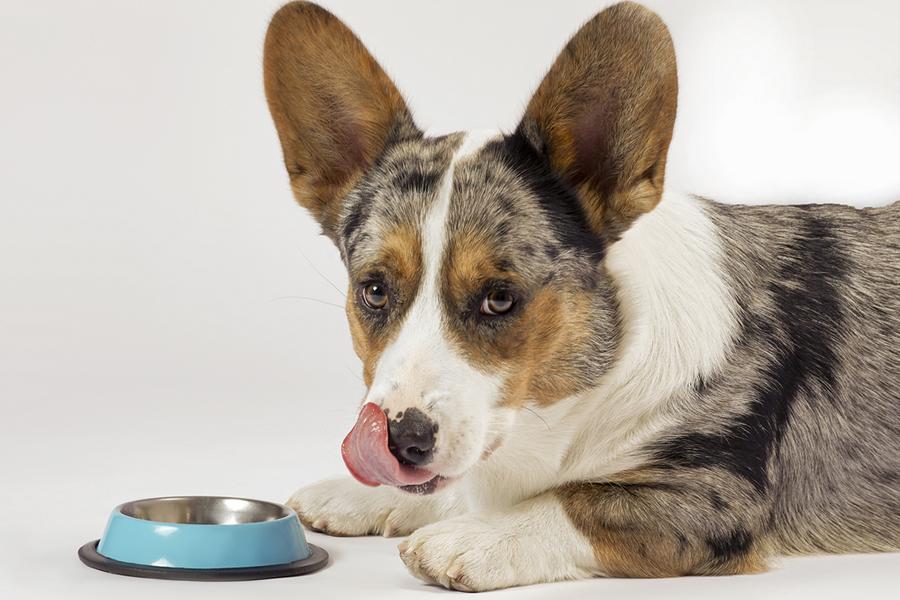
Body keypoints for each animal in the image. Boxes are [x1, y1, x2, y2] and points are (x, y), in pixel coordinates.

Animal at [262, 0, 900, 592]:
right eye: (373, 291)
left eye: (500, 298)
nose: (401, 441)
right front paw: (358, 495)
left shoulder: (714, 498)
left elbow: (574, 501)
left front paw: (474, 539)